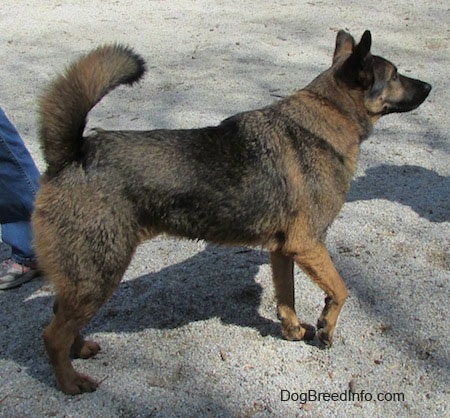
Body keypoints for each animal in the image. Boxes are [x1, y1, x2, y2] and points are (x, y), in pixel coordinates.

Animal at [33, 31, 430, 394]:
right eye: (395, 74)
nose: (430, 85)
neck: (327, 113)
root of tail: (73, 154)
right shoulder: (308, 245)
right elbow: (341, 290)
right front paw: (326, 327)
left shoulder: (283, 251)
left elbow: (286, 298)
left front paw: (292, 330)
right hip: (99, 275)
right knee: (52, 335)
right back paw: (70, 382)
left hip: (84, 278)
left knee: (59, 316)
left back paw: (80, 350)